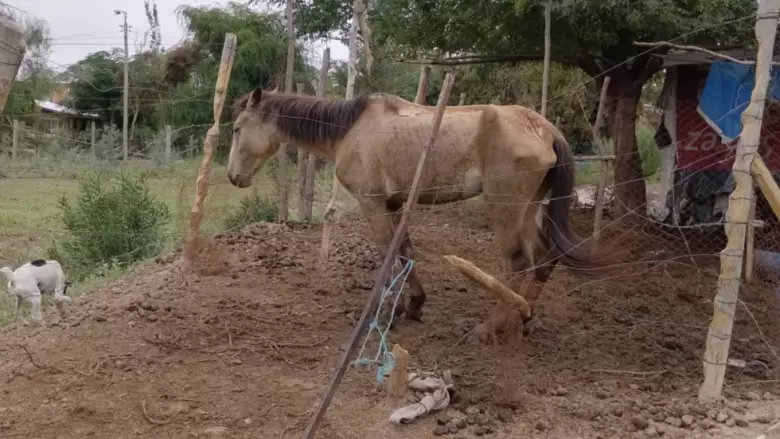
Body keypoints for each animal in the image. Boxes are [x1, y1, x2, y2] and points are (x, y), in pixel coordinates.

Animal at [227, 88, 615, 325]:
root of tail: (545, 128)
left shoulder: (372, 204)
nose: (233, 177)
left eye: (236, 128)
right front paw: (414, 304)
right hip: (529, 208)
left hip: (505, 210)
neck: (351, 129)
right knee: (543, 259)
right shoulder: (395, 203)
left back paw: (493, 327)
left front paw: (386, 311)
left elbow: (388, 253)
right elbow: (405, 250)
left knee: (519, 264)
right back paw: (523, 317)